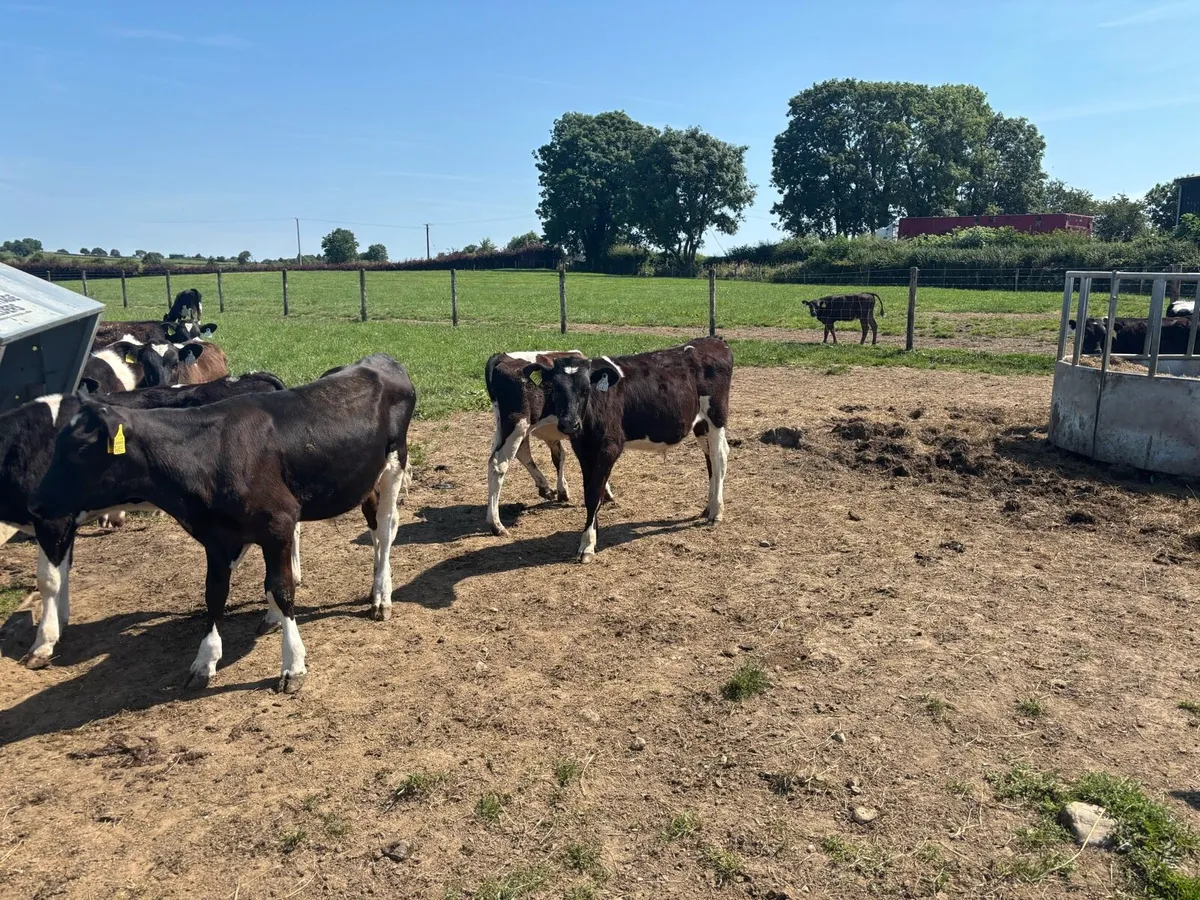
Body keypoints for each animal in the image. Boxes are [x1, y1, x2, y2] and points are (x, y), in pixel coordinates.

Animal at [0, 373, 289, 668]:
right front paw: (61, 622)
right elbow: (64, 572)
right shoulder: (65, 522)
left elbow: (48, 580)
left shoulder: (53, 520)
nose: (34, 502)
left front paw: (43, 643)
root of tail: (246, 377)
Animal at [31, 354, 416, 693]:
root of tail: (379, 359)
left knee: (385, 528)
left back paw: (381, 595)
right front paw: (205, 661)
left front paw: (293, 664)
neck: (209, 453)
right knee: (373, 523)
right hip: (363, 478)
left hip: (394, 463)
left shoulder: (277, 524)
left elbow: (282, 588)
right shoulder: (217, 538)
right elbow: (215, 595)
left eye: (81, 448)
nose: (35, 504)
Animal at [483, 350, 613, 535]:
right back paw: (496, 524)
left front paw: (562, 490)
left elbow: (561, 456)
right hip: (518, 423)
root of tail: (503, 356)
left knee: (515, 454)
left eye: (585, 389)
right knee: (499, 465)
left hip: (505, 426)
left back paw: (544, 487)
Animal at [519, 337, 732, 563]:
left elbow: (594, 493)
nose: (569, 424)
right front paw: (593, 531)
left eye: (586, 389)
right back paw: (708, 507)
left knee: (719, 458)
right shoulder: (583, 448)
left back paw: (716, 511)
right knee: (711, 459)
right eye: (555, 388)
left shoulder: (610, 447)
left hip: (716, 416)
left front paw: (587, 544)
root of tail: (713, 340)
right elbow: (589, 491)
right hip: (700, 423)